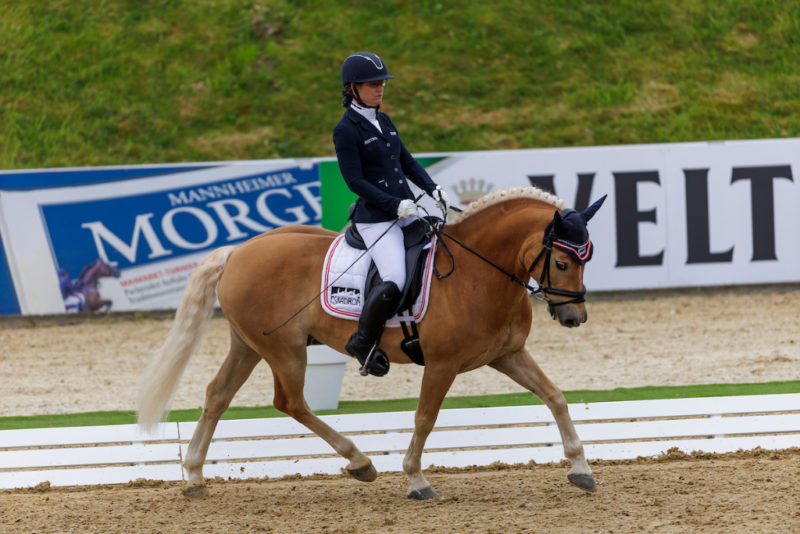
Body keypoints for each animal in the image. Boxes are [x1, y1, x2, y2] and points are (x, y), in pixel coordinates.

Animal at [138, 186, 608, 500]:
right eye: (562, 262)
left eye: (587, 259)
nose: (575, 318)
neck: (478, 271)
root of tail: (237, 251)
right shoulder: (442, 364)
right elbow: (424, 418)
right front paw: (416, 479)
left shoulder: (507, 355)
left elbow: (555, 396)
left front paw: (580, 469)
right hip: (284, 350)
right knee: (291, 402)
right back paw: (360, 461)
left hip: (248, 344)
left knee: (217, 395)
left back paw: (194, 477)